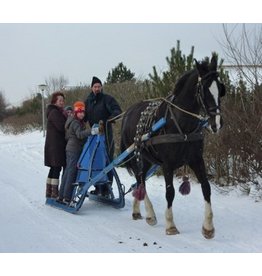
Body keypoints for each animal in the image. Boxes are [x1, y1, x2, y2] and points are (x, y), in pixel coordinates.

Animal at [121, 54, 225, 239]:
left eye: (220, 89)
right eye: (204, 90)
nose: (217, 124)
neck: (182, 126)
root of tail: (128, 112)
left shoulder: (197, 159)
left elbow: (206, 188)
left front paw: (208, 227)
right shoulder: (168, 164)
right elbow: (170, 192)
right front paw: (170, 225)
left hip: (146, 159)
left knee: (140, 181)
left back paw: (137, 211)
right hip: (135, 156)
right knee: (141, 181)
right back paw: (150, 215)